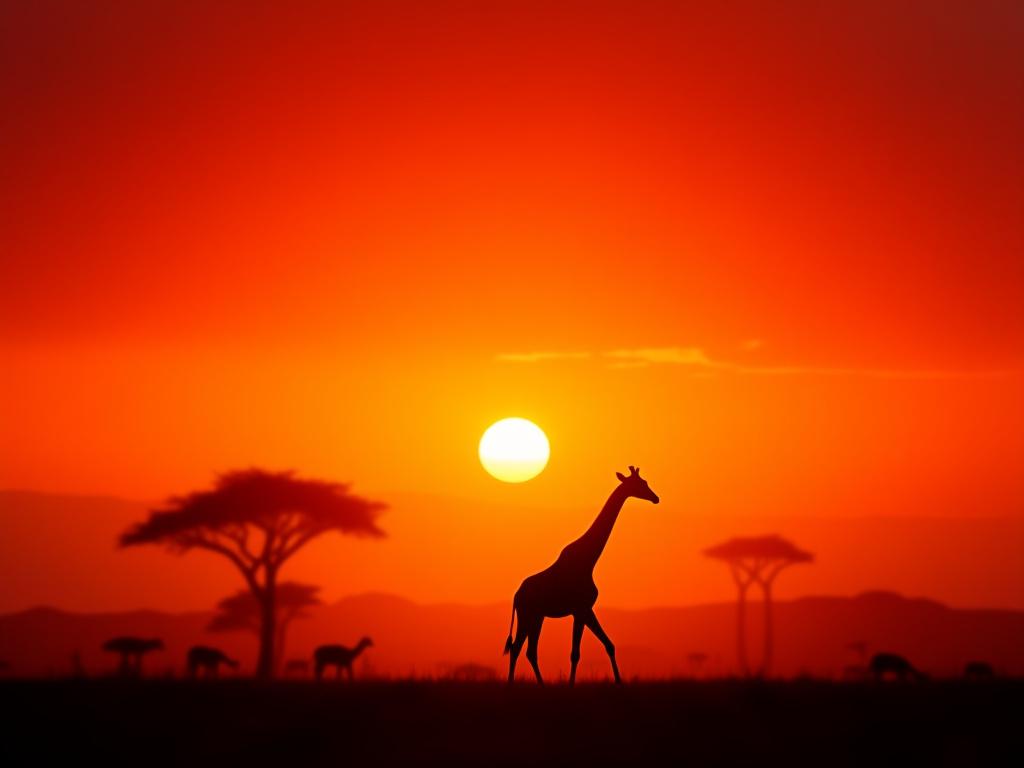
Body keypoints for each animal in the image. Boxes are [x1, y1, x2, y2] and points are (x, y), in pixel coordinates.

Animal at [503, 466, 659, 685]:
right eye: (640, 483)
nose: (656, 498)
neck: (589, 560)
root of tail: (517, 595)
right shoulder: (581, 608)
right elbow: (576, 653)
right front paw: (571, 685)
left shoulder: (584, 609)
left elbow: (607, 645)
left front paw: (618, 681)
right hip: (527, 615)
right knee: (518, 648)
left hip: (537, 616)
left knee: (529, 651)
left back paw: (540, 685)